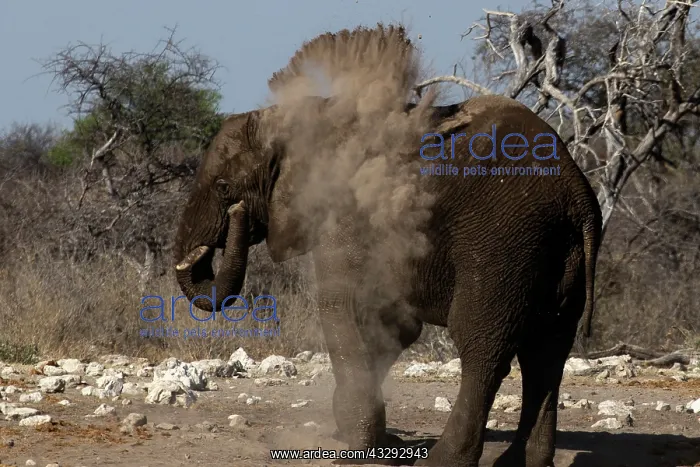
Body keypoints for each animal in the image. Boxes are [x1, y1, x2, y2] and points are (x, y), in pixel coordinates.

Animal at [173, 94, 602, 467]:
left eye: (223, 188)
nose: (237, 215)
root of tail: (576, 193)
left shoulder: (346, 212)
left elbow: (341, 305)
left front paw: (355, 449)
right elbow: (392, 325)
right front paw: (374, 440)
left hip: (502, 245)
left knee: (484, 349)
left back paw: (439, 463)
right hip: (557, 255)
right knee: (546, 354)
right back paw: (520, 463)